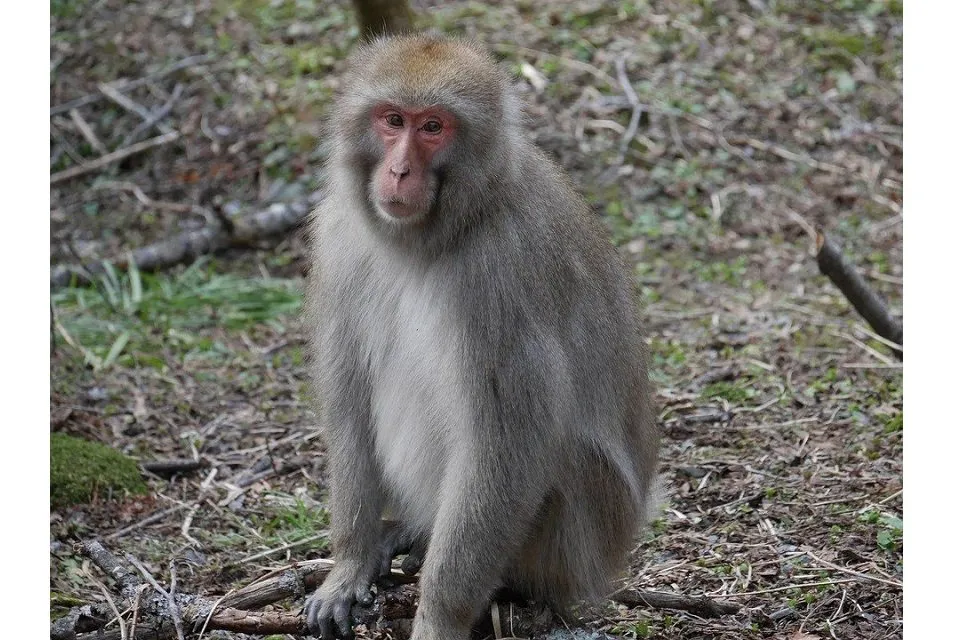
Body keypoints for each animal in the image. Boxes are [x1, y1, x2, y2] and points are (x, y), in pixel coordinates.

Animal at [303, 35, 659, 640]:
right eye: (392, 120)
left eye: (433, 127)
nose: (398, 171)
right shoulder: (340, 237)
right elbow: (349, 397)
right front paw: (348, 565)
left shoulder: (502, 274)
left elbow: (506, 442)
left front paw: (438, 618)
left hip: (577, 539)